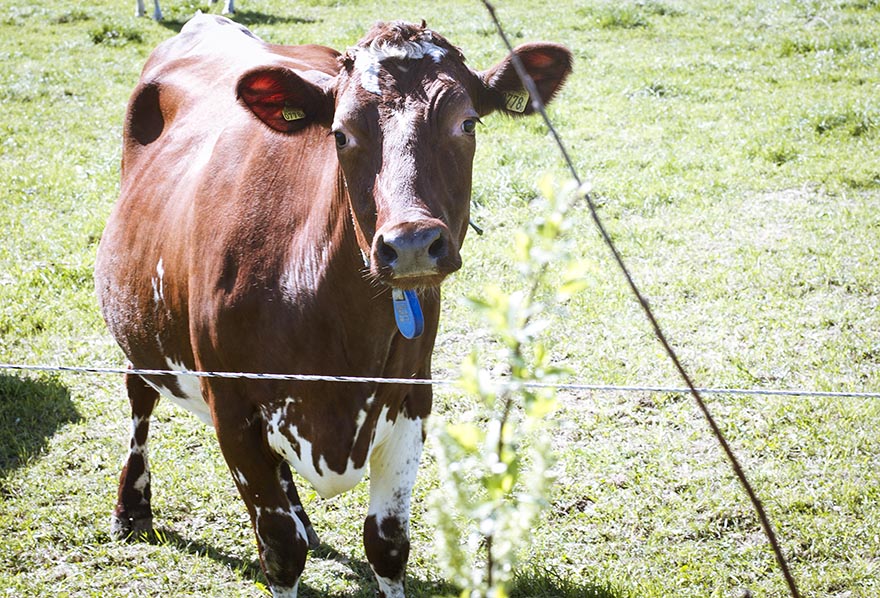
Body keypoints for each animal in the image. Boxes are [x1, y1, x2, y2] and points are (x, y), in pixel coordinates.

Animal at [94, 14, 572, 598]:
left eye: (468, 124)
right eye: (340, 134)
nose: (412, 243)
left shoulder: (412, 399)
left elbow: (386, 545)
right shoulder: (232, 409)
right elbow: (280, 551)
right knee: (139, 393)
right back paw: (132, 508)